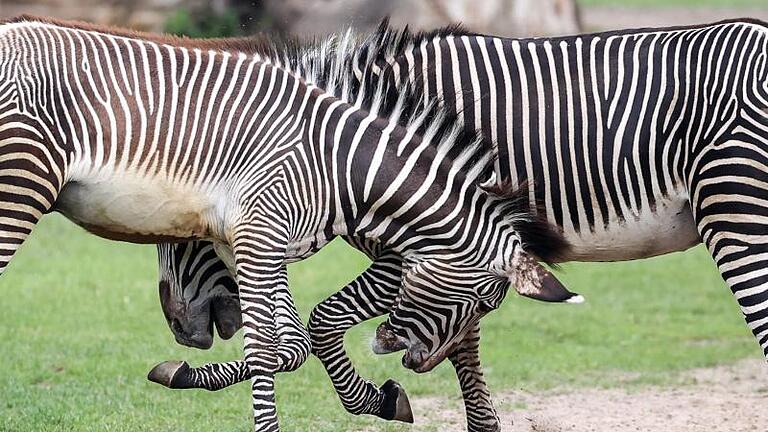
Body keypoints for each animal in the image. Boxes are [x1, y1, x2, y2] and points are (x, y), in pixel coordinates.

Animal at [1, 16, 576, 432]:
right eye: (484, 303)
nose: (412, 361)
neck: (340, 165)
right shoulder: (259, 235)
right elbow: (267, 351)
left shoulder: (266, 243)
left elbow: (294, 346)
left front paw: (381, 399)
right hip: (20, 189)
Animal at [152, 18, 768, 430]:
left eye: (183, 227)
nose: (179, 327)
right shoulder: (461, 257)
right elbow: (460, 342)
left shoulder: (424, 246)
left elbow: (320, 325)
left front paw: (378, 397)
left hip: (737, 218)